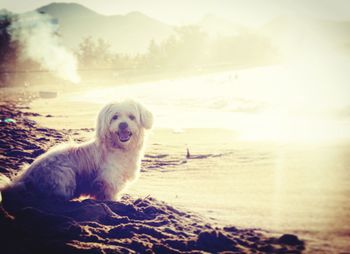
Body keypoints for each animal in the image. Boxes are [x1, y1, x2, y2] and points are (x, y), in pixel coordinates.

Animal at [0, 99, 153, 202]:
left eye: (132, 117)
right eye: (114, 117)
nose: (122, 125)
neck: (120, 148)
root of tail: (25, 178)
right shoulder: (108, 178)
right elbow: (109, 193)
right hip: (64, 173)